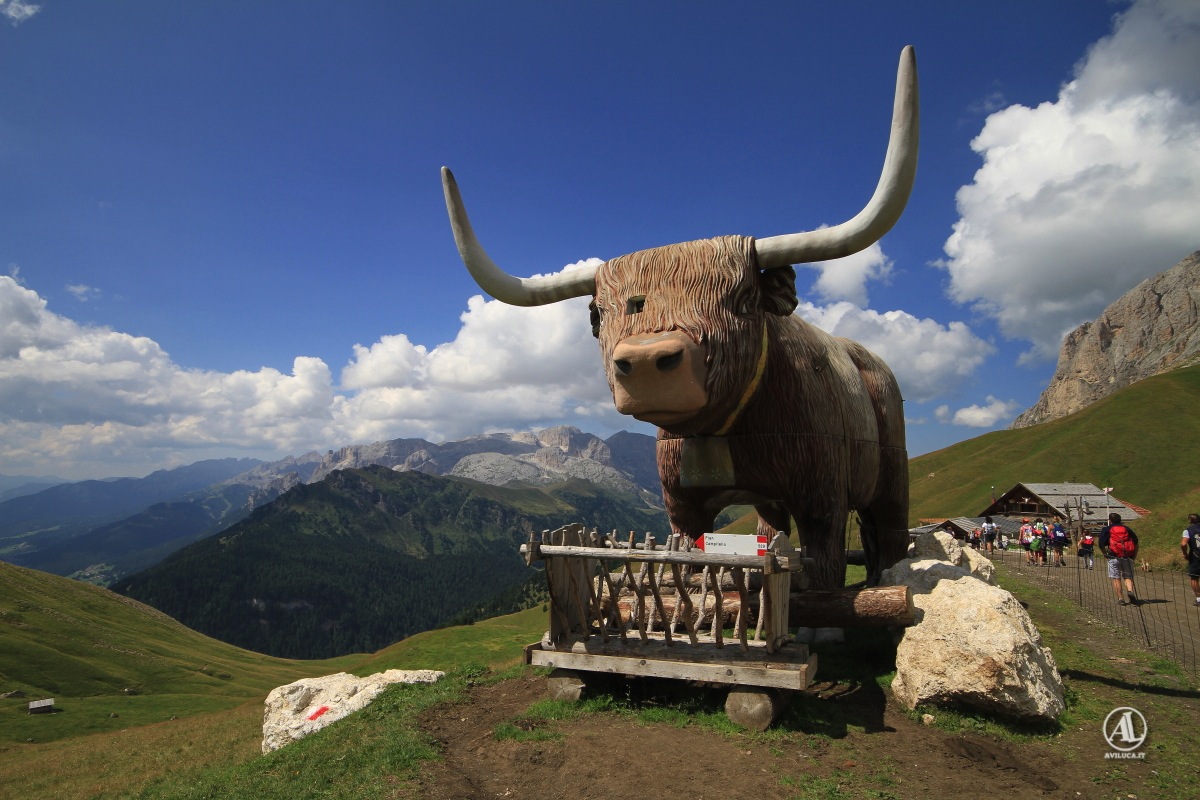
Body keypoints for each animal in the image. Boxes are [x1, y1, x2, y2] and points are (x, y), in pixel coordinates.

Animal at [440, 47, 919, 589]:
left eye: (741, 296)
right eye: (599, 312)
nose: (647, 362)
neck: (723, 429)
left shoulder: (823, 494)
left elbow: (823, 567)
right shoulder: (682, 504)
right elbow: (688, 556)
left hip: (890, 474)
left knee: (889, 532)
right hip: (774, 500)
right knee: (772, 526)